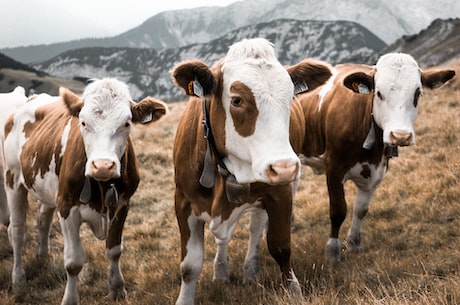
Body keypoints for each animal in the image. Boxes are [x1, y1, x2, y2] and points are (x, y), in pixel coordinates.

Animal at [2, 79, 168, 304]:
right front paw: (70, 299)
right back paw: (18, 278)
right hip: (13, 180)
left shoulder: (122, 205)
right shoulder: (67, 207)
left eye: (126, 123)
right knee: (17, 231)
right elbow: (73, 262)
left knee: (43, 220)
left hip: (47, 190)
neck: (102, 185)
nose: (103, 166)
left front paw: (117, 289)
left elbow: (114, 250)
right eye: (83, 123)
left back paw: (42, 256)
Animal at [171, 38, 332, 304]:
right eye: (237, 100)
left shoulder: (280, 193)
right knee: (223, 239)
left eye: (291, 97)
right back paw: (221, 271)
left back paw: (249, 269)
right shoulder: (183, 201)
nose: (284, 167)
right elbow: (189, 265)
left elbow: (280, 247)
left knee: (256, 227)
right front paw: (185, 298)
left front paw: (293, 291)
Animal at [292, 52, 454, 262]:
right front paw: (332, 250)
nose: (400, 135)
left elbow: (361, 210)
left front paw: (353, 243)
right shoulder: (334, 167)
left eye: (417, 93)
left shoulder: (377, 170)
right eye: (379, 93)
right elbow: (338, 211)